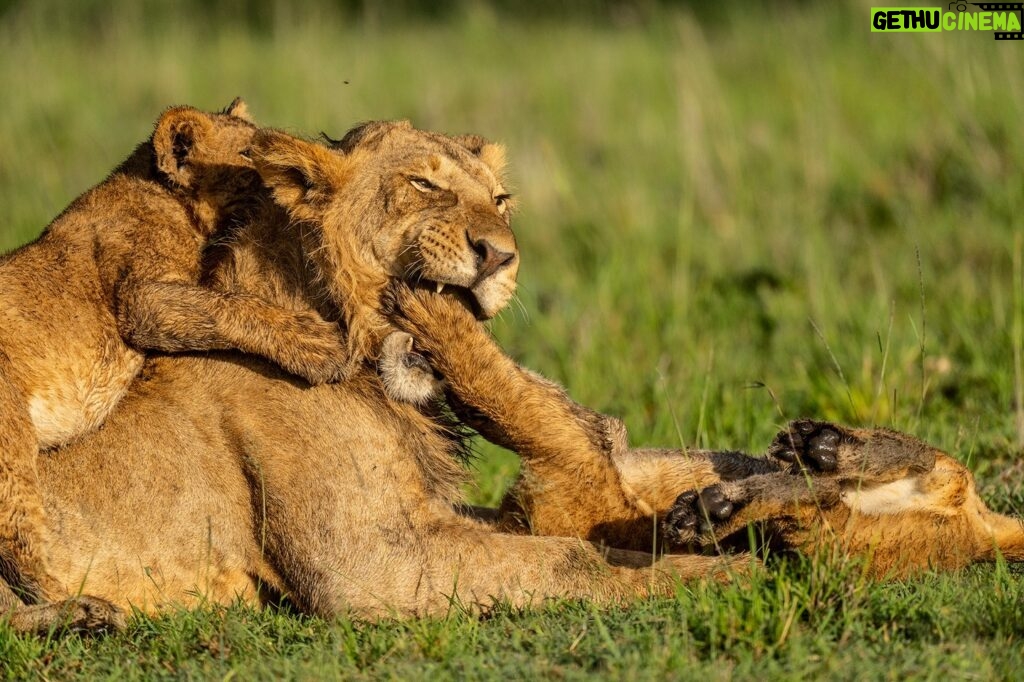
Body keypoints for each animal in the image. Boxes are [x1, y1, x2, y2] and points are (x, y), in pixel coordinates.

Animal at [0, 98, 360, 602]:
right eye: (248, 155)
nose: (298, 176)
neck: (165, 198)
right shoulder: (142, 299)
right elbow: (226, 305)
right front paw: (318, 344)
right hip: (8, 429)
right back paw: (86, 606)